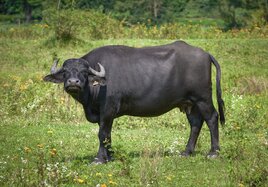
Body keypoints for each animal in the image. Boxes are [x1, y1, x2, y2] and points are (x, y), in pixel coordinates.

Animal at [43, 41, 224, 164]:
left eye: (84, 72)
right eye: (66, 72)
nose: (73, 83)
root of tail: (205, 54)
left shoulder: (108, 110)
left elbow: (102, 134)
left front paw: (99, 159)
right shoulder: (105, 115)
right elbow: (108, 134)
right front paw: (109, 156)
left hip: (203, 98)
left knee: (212, 118)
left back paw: (213, 152)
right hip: (190, 103)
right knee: (196, 123)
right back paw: (187, 152)